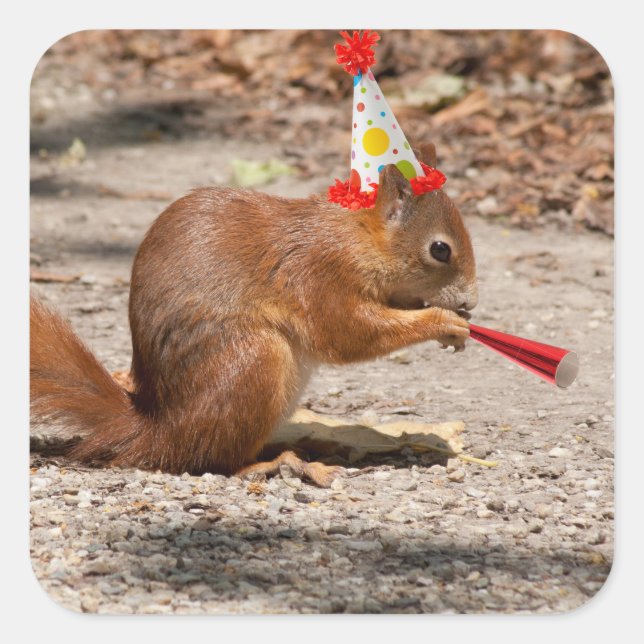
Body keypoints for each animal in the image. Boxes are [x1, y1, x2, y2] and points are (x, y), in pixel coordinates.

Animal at [30, 143, 478, 487]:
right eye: (440, 249)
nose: (472, 302)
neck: (358, 235)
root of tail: (159, 428)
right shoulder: (321, 274)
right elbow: (346, 333)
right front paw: (443, 321)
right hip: (255, 361)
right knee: (208, 460)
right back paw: (274, 463)